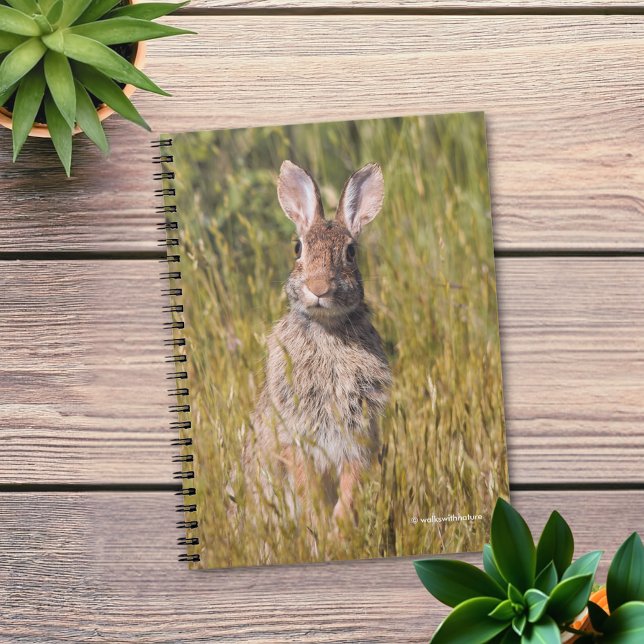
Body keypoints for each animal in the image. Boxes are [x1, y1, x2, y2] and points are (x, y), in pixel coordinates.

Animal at [246, 160, 391, 527]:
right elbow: (306, 484)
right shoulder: (295, 437)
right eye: (298, 248)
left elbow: (351, 484)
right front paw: (320, 525)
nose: (318, 287)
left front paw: (339, 526)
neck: (327, 329)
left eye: (351, 252)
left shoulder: (358, 436)